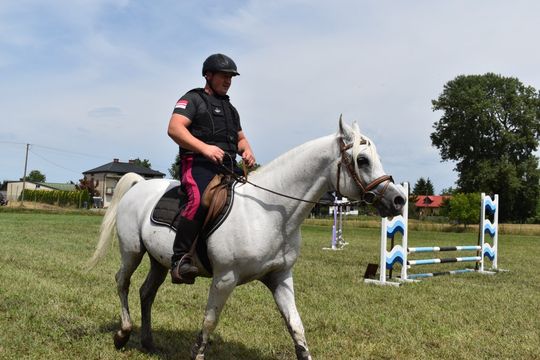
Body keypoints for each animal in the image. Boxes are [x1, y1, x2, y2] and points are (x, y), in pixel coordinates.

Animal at [89, 119, 404, 358]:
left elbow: (297, 327)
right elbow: (209, 323)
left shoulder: (280, 278)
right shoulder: (224, 279)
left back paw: (148, 342)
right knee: (122, 282)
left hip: (159, 261)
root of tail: (140, 185)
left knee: (146, 292)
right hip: (132, 251)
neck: (268, 213)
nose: (398, 200)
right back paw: (123, 334)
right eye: (362, 160)